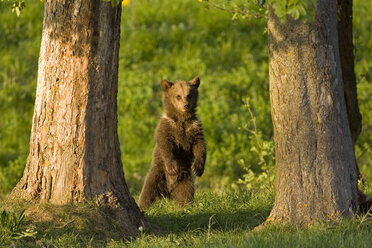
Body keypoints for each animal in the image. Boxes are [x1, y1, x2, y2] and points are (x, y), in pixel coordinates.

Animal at [138, 76, 206, 208]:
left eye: (189, 95)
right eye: (178, 95)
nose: (186, 105)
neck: (182, 119)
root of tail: (168, 191)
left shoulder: (194, 128)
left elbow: (200, 146)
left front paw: (197, 168)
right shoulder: (168, 127)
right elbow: (166, 145)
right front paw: (173, 168)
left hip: (185, 179)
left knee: (186, 192)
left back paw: (185, 206)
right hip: (157, 174)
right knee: (148, 191)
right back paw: (144, 205)